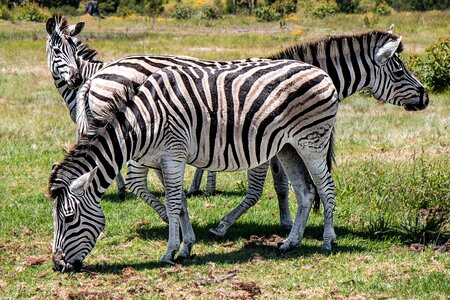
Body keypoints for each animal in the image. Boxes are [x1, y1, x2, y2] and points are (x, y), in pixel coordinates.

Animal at [49, 59, 340, 270]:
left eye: (68, 218)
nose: (57, 265)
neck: (142, 123)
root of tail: (321, 72)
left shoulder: (173, 156)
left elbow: (173, 204)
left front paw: (169, 252)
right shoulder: (163, 159)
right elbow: (180, 203)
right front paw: (186, 246)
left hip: (312, 142)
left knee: (326, 188)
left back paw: (327, 241)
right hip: (288, 147)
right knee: (305, 192)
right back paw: (290, 243)